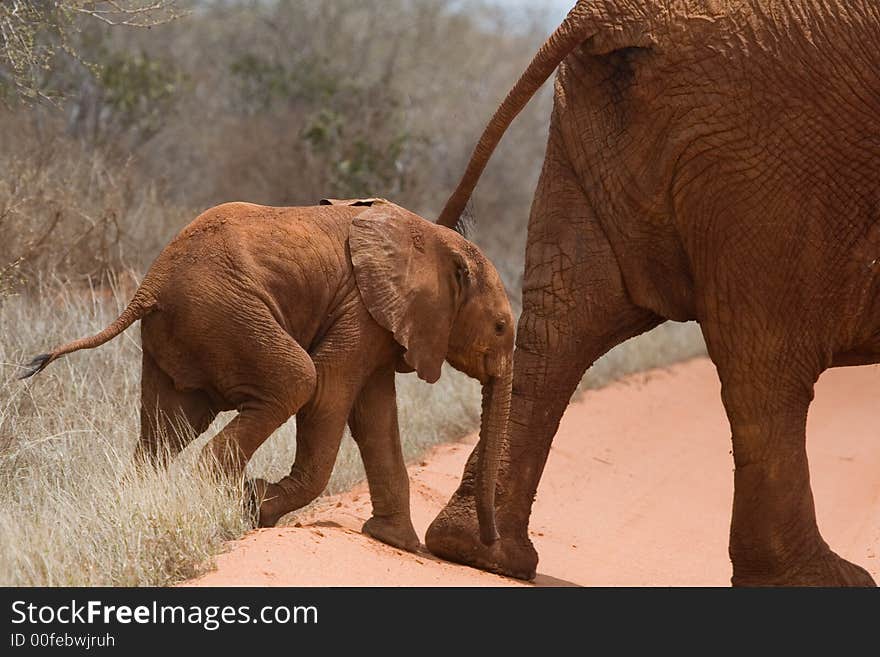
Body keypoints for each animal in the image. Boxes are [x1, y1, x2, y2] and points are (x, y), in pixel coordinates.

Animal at [24, 197, 512, 552]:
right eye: (502, 327)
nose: (489, 543)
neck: (435, 238)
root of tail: (150, 285)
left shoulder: (381, 322)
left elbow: (376, 418)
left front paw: (398, 544)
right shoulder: (363, 309)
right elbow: (329, 392)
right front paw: (256, 506)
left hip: (184, 330)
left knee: (169, 424)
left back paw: (143, 500)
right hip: (225, 312)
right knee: (297, 379)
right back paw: (220, 499)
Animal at [422, 0, 876, 584]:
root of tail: (613, 12)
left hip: (601, 127)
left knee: (565, 319)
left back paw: (479, 551)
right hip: (777, 146)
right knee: (769, 364)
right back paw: (820, 579)